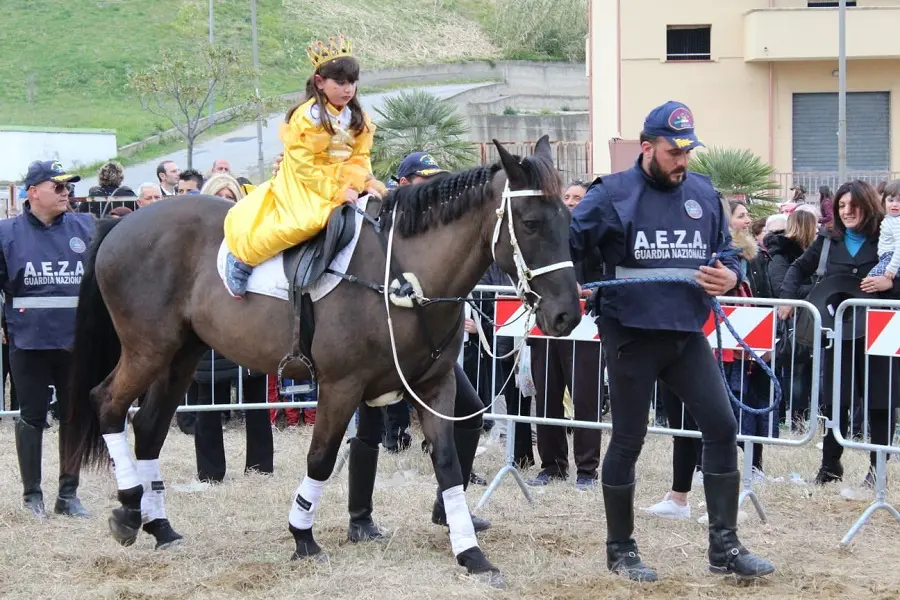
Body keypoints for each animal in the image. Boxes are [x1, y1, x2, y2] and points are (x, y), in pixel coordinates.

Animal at [65, 135, 584, 584]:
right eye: (531, 223)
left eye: (567, 219)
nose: (567, 314)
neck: (402, 275)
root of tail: (121, 223)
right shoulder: (340, 386)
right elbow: (322, 457)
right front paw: (303, 535)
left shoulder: (435, 386)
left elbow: (447, 463)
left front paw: (470, 551)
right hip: (148, 350)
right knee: (108, 403)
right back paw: (129, 507)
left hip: (182, 357)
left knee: (149, 426)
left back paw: (159, 525)